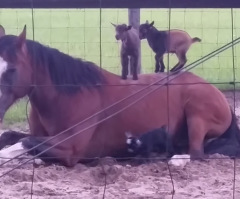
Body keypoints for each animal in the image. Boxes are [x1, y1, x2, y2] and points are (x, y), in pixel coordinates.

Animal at [0, 24, 238, 167]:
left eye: (11, 69)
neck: (68, 96)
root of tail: (215, 90)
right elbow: (12, 137)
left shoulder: (71, 148)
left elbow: (25, 143)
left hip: (196, 115)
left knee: (196, 152)